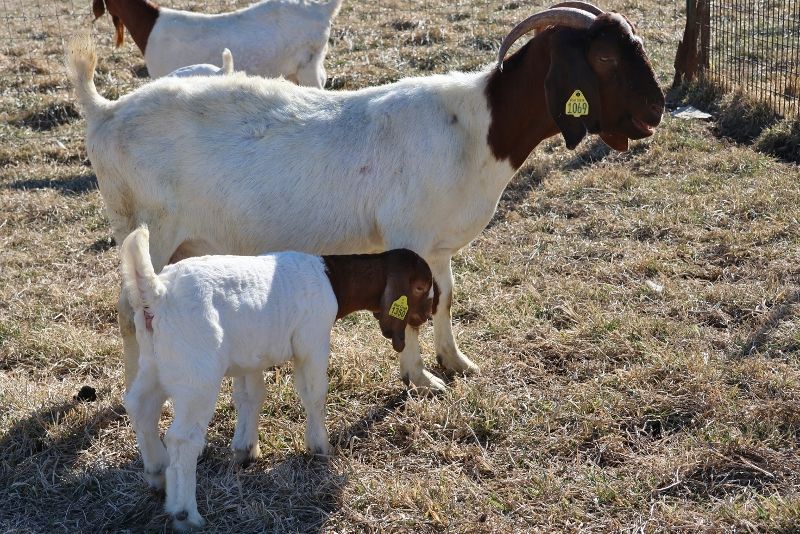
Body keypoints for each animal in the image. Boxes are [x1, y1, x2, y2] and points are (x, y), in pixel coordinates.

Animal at [120, 226, 438, 532]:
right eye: (420, 287)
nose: (430, 313)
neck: (332, 278)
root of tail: (157, 292)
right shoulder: (312, 341)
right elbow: (314, 393)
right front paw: (320, 447)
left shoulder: (248, 357)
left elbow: (250, 396)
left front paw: (246, 450)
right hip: (196, 374)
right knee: (182, 439)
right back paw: (185, 514)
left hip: (154, 365)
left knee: (140, 408)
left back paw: (157, 474)